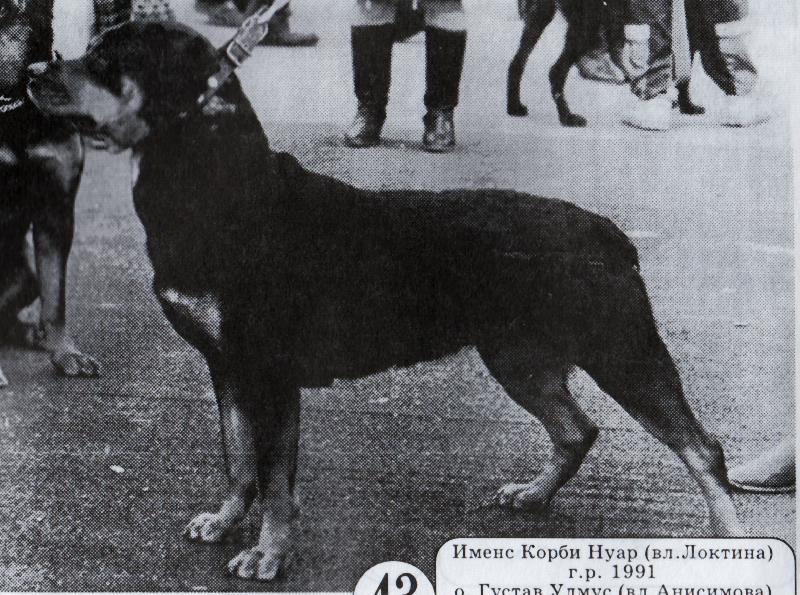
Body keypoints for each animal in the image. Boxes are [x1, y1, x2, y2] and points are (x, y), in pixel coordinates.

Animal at [28, 21, 741, 581]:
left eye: (105, 60)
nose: (33, 71)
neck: (218, 189)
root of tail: (608, 232)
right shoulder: (228, 367)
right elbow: (239, 459)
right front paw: (227, 521)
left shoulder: (270, 374)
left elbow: (276, 478)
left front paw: (267, 555)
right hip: (518, 356)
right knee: (577, 429)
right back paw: (533, 495)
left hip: (619, 349)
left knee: (700, 447)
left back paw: (731, 540)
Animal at [508, 0, 703, 126]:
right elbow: (684, 72)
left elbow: (685, 73)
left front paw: (686, 105)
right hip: (589, 21)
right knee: (556, 71)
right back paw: (567, 117)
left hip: (543, 14)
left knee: (517, 62)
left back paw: (514, 106)